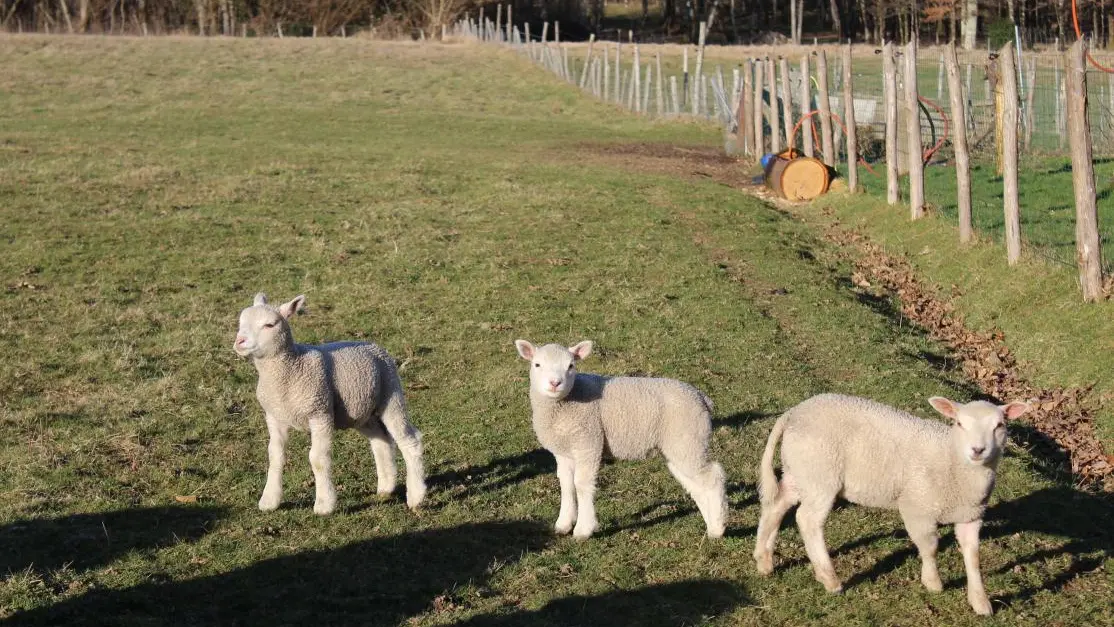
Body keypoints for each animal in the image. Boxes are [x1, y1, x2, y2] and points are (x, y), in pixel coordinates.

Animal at [232, 294, 427, 514]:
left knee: (409, 440)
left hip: (391, 394)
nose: (239, 341)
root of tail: (373, 345)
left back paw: (416, 496)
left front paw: (324, 504)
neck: (288, 368)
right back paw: (386, 487)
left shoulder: (320, 413)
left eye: (269, 325)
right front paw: (269, 500)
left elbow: (318, 459)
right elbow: (275, 456)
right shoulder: (274, 416)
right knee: (381, 441)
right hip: (361, 412)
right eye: (241, 323)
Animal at [510, 338, 726, 539]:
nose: (555, 383)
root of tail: (702, 398)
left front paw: (583, 529)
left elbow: (582, 483)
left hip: (689, 437)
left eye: (571, 366)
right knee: (695, 484)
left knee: (713, 476)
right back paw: (710, 524)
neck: (564, 405)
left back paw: (718, 528)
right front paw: (563, 523)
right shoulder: (563, 451)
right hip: (682, 444)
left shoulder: (588, 441)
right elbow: (566, 484)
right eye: (537, 364)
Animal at [753, 394, 1029, 614]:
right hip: (821, 472)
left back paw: (764, 560)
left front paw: (981, 602)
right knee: (807, 520)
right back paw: (829, 578)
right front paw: (933, 583)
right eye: (960, 423)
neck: (952, 459)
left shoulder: (971, 515)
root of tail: (793, 413)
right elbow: (930, 547)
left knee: (777, 504)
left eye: (1000, 425)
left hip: (800, 470)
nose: (977, 450)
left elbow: (973, 556)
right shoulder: (917, 508)